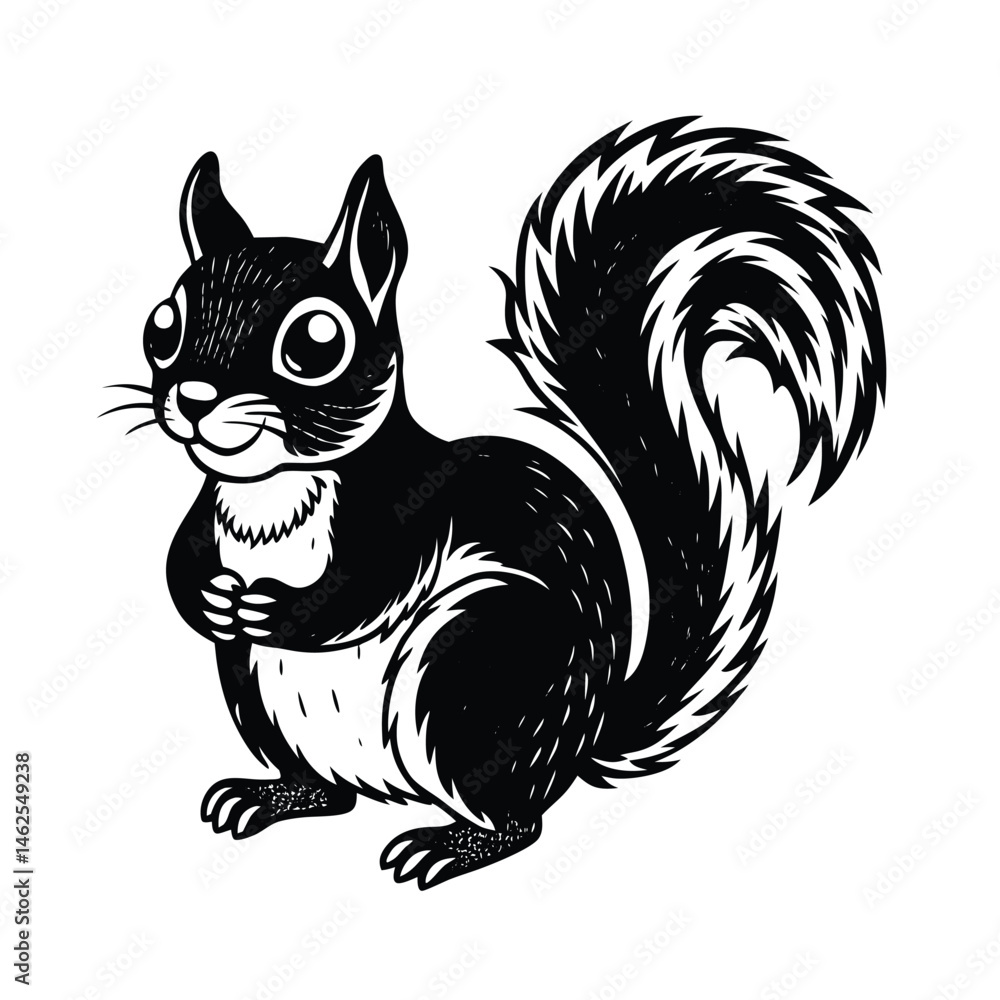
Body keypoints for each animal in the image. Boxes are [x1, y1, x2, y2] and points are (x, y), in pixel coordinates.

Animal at [118, 117, 884, 889]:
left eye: (315, 341)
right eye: (162, 327)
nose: (193, 399)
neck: (272, 487)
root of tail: (578, 741)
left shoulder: (410, 510)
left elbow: (364, 590)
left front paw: (278, 609)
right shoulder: (208, 510)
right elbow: (180, 557)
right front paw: (206, 597)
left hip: (475, 669)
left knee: (518, 822)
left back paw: (449, 844)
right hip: (254, 688)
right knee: (330, 794)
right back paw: (270, 794)